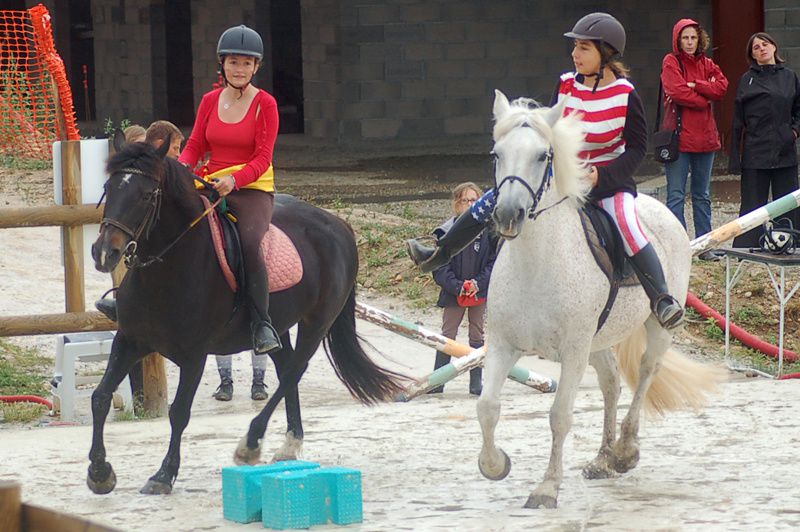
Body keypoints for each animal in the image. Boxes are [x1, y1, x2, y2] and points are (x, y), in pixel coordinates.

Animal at [86, 132, 406, 494]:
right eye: (108, 187)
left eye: (145, 195)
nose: (104, 253)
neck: (168, 268)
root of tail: (340, 225)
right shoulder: (130, 340)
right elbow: (100, 397)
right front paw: (99, 472)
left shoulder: (194, 355)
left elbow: (179, 412)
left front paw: (163, 475)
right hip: (277, 325)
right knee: (285, 367)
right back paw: (290, 444)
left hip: (317, 322)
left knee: (294, 370)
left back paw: (251, 443)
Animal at [476, 90, 724, 508]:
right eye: (496, 154)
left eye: (543, 156)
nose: (508, 215)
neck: (535, 263)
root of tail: (661, 208)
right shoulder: (502, 345)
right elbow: (487, 407)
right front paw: (495, 465)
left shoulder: (573, 350)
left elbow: (560, 415)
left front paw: (547, 487)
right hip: (598, 339)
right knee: (611, 381)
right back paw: (604, 458)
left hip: (654, 327)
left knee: (646, 370)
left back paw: (624, 450)